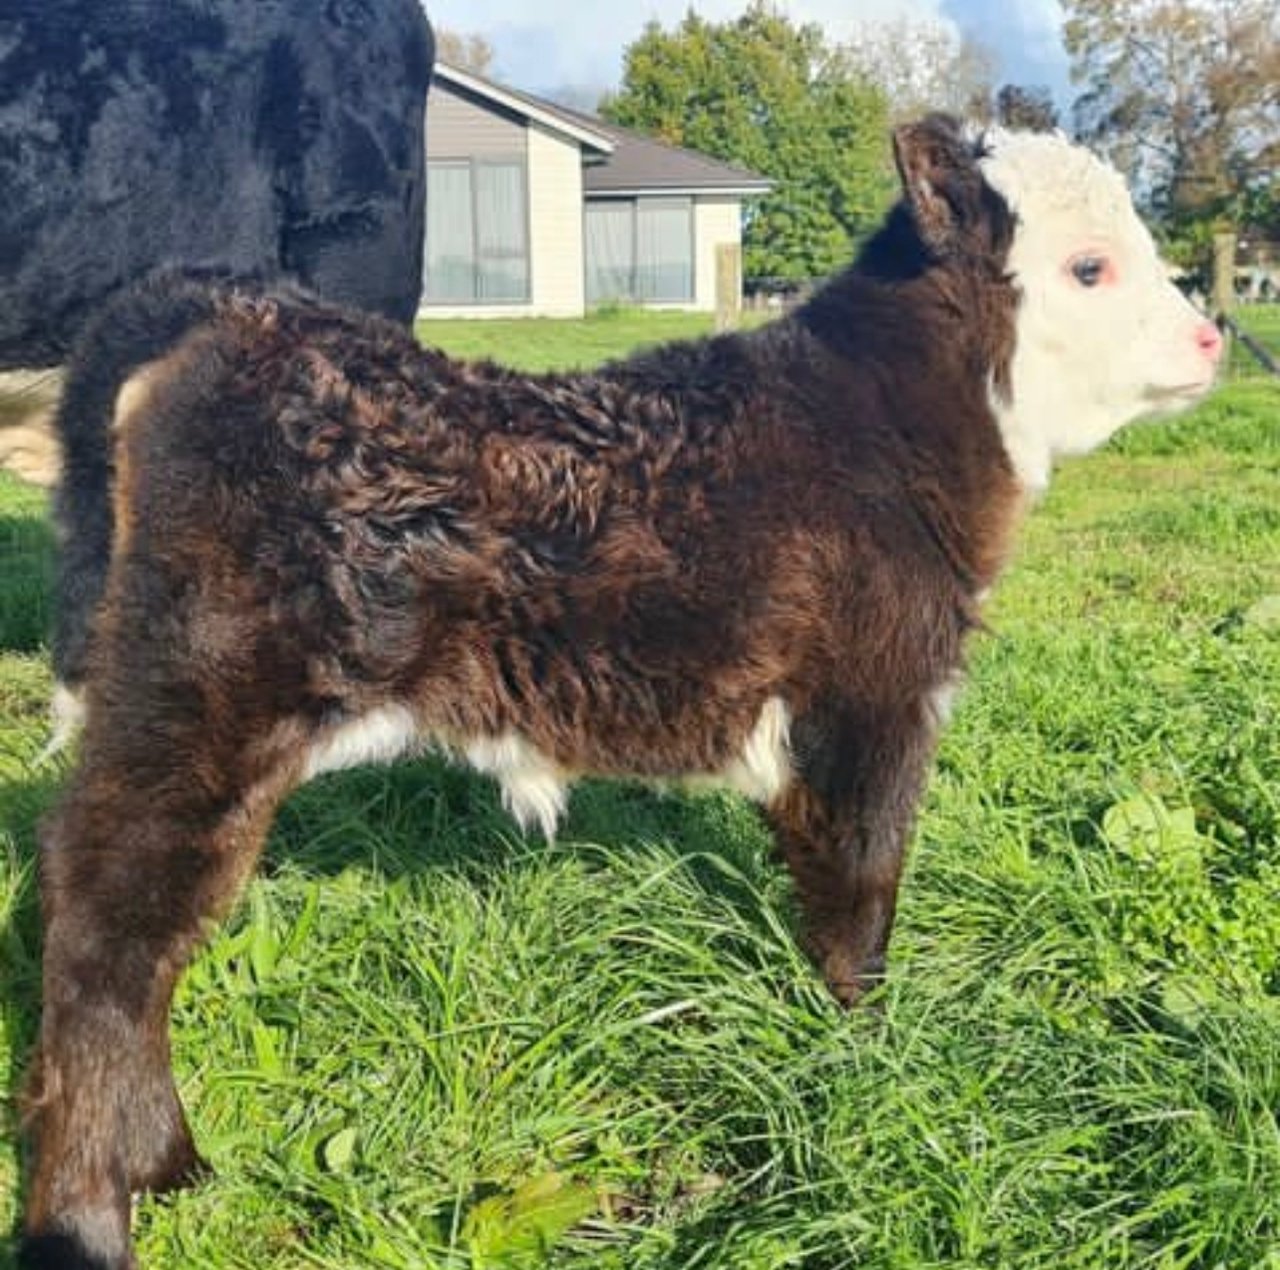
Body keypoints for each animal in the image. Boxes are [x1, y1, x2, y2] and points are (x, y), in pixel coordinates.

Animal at [21, 115, 1222, 1269]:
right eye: (1088, 267)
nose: (1210, 340)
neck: (880, 428)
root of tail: (235, 315)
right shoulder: (873, 700)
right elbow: (862, 884)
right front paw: (861, 1047)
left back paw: (171, 1164)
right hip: (198, 697)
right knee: (104, 929)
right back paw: (90, 1217)